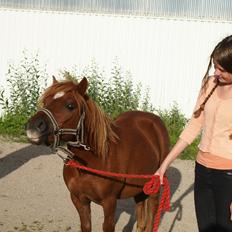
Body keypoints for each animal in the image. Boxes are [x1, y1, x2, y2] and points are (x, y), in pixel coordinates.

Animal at [26, 77, 169, 231]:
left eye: (70, 105)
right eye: (46, 101)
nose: (32, 127)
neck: (92, 161)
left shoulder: (109, 202)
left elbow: (108, 226)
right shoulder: (79, 199)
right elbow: (85, 225)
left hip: (155, 185)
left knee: (151, 216)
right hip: (139, 186)